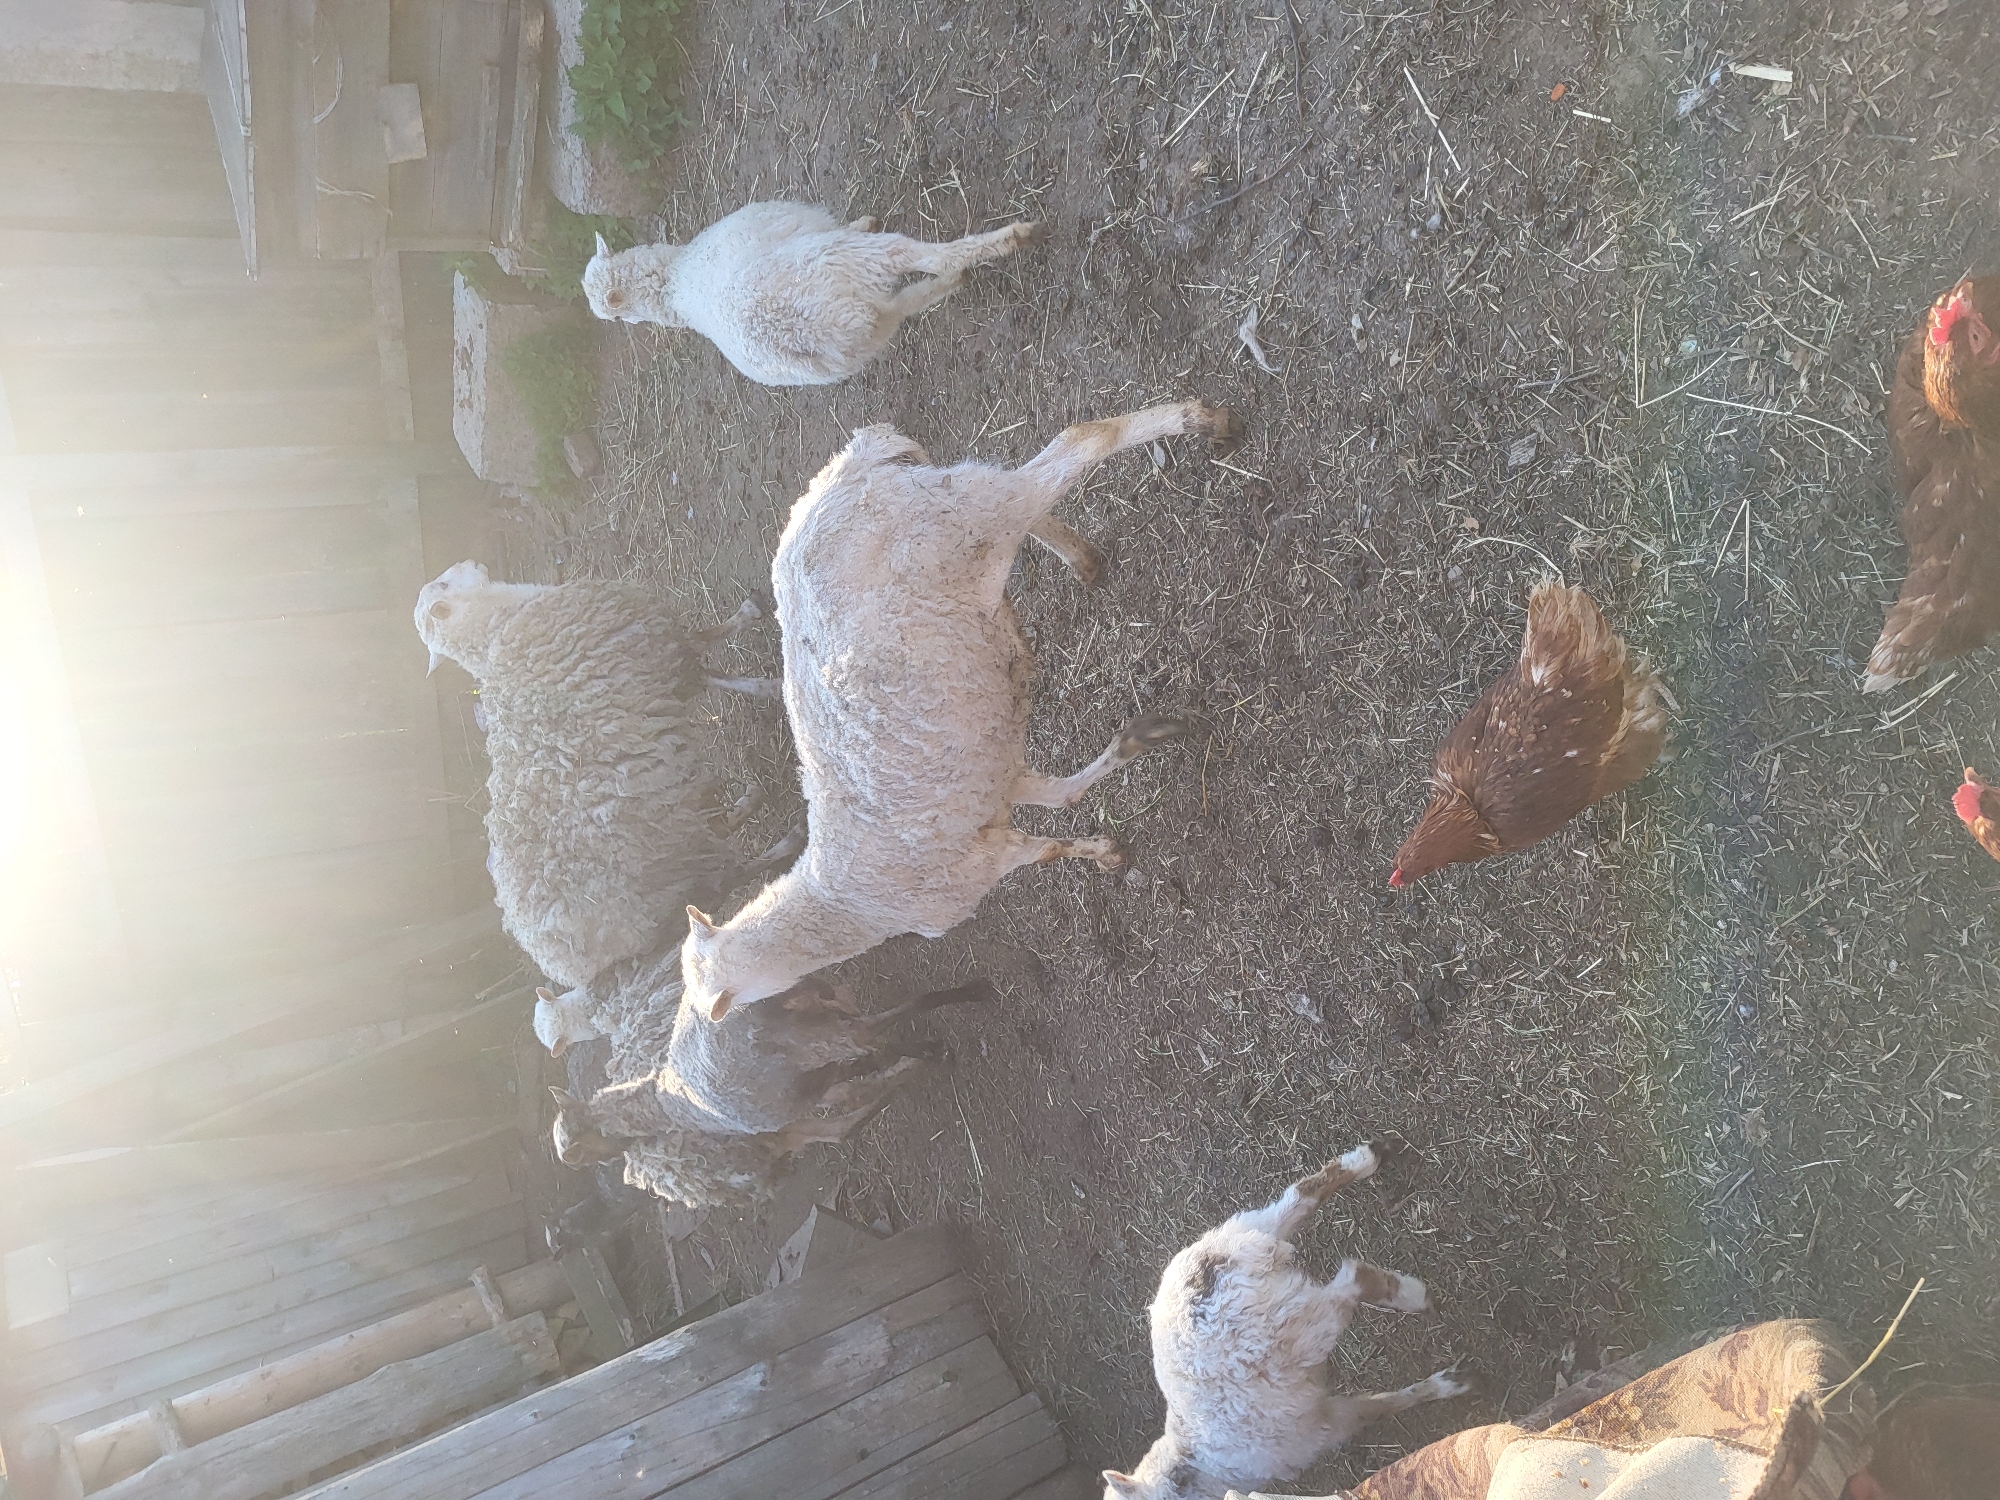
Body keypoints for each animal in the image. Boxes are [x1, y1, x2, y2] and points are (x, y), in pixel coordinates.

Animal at [414, 560, 799, 991]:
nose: (472, 564)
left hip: (670, 846)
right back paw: (790, 839)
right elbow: (708, 641)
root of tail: (567, 967)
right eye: (444, 584)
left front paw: (761, 676)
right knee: (737, 871)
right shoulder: (650, 642)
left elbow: (708, 670)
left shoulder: (653, 667)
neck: (505, 622)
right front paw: (764, 659)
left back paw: (749, 800)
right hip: (671, 872)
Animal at [580, 204, 1044, 386]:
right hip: (848, 263)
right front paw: (863, 221)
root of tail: (798, 333)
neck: (676, 281)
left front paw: (862, 219)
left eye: (615, 319)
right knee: (922, 257)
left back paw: (953, 282)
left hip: (868, 334)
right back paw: (1008, 238)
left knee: (910, 301)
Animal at [678, 398, 1240, 1023]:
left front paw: (1105, 851)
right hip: (962, 500)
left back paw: (1203, 422)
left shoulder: (975, 870)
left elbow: (1048, 849)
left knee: (1078, 443)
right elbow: (1060, 796)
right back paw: (1082, 562)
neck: (842, 903)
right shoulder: (996, 789)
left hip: (967, 516)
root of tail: (854, 460)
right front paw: (1129, 767)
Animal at [1103, 1145, 1469, 1500]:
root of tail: (1206, 1275)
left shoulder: (1311, 1433)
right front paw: (1447, 1383)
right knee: (1298, 1198)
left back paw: (1414, 1295)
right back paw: (1366, 1158)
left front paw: (1446, 1386)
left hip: (1291, 1329)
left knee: (1351, 1277)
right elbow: (1377, 1405)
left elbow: (1377, 1408)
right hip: (1247, 1237)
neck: (1201, 1465)